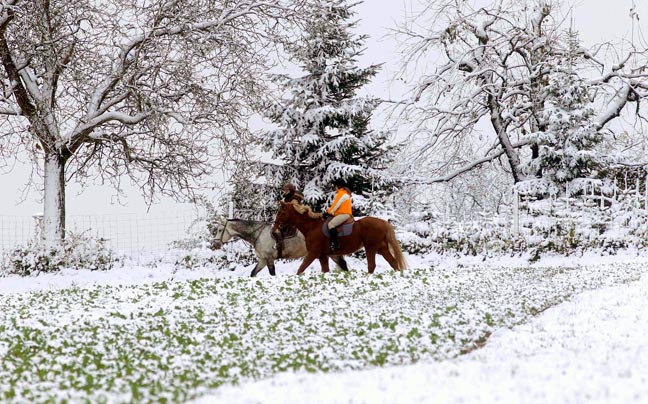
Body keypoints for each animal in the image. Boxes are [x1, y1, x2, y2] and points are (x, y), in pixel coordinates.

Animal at [272, 201, 404, 274]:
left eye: (282, 212)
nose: (274, 228)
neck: (312, 226)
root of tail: (383, 222)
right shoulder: (323, 255)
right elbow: (325, 270)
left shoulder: (313, 253)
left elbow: (301, 268)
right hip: (381, 248)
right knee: (393, 262)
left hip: (371, 248)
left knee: (372, 266)